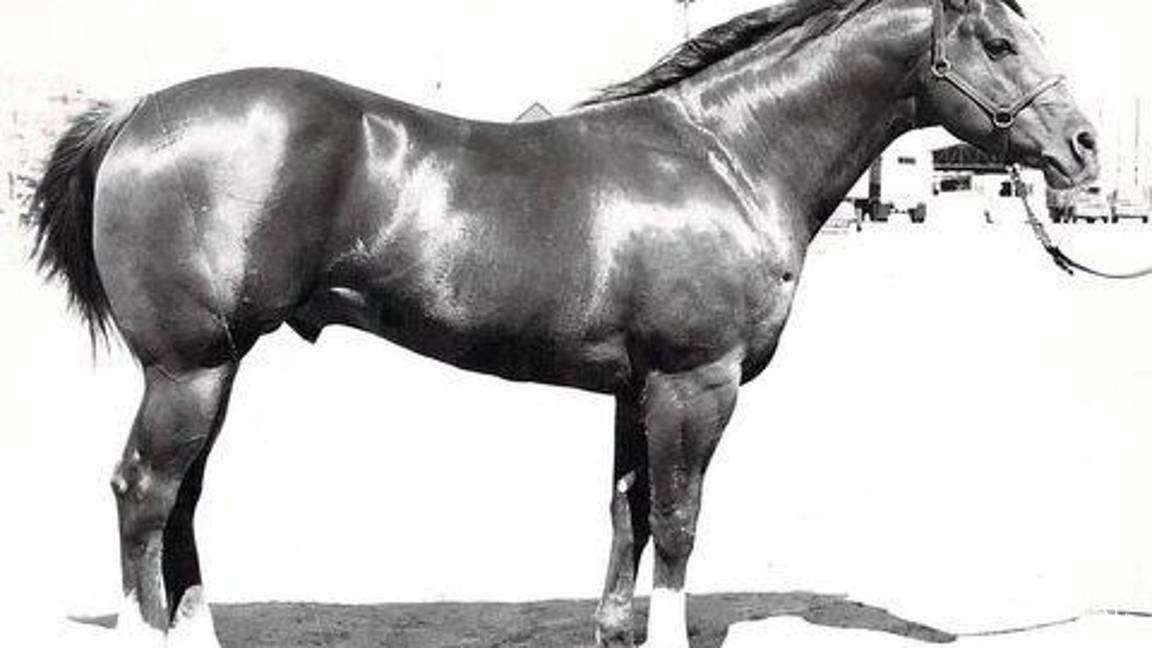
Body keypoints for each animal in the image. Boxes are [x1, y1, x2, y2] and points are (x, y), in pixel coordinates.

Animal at [27, 0, 1098, 646]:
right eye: (1001, 43)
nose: (1085, 149)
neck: (726, 156)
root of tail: (136, 114)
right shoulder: (694, 384)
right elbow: (678, 520)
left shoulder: (638, 388)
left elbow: (628, 514)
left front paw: (616, 629)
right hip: (190, 369)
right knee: (143, 494)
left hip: (210, 370)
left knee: (181, 502)